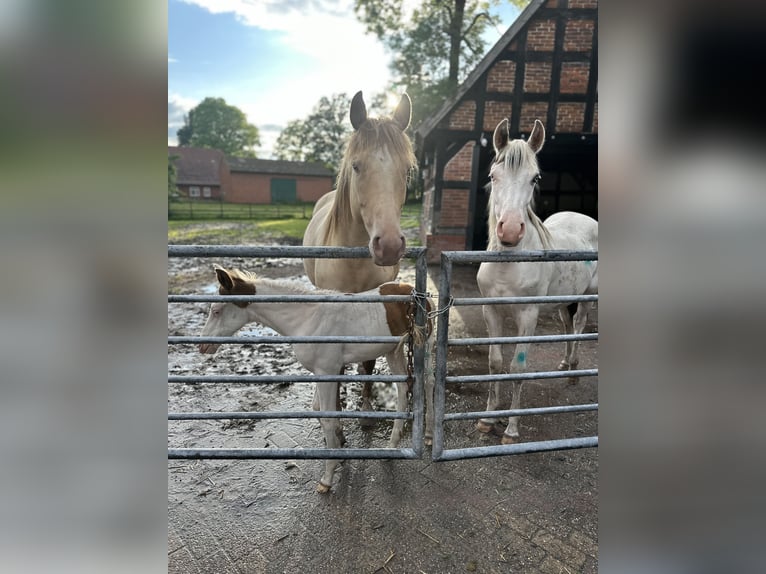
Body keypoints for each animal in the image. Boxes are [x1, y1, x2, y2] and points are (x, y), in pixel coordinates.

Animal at [304, 89, 416, 424]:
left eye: (407, 170)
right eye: (356, 166)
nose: (389, 246)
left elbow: (367, 362)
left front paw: (366, 409)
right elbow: (337, 366)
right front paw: (335, 406)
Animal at [480, 119, 600, 448]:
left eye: (535, 178)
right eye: (493, 176)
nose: (509, 230)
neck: (509, 264)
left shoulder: (528, 315)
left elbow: (517, 367)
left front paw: (510, 430)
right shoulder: (490, 311)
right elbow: (495, 363)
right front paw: (486, 420)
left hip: (589, 297)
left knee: (579, 326)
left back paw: (573, 370)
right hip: (561, 300)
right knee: (566, 325)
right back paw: (564, 364)